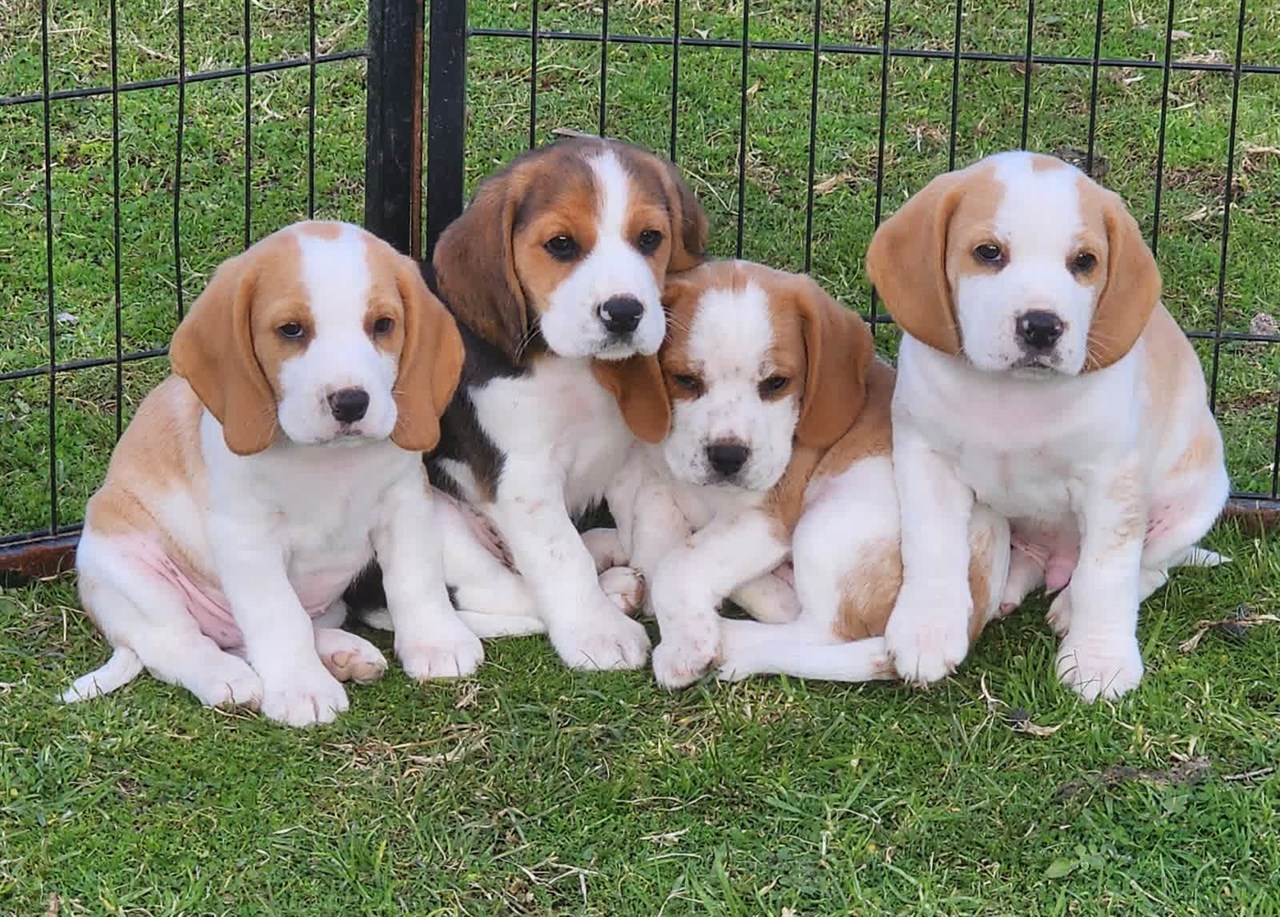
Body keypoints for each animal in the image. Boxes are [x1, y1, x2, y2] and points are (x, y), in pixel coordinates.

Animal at [68, 220, 519, 722]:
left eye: (383, 325)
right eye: (291, 330)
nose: (351, 402)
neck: (329, 462)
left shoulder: (405, 504)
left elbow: (414, 577)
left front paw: (436, 643)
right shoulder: (249, 538)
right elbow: (278, 616)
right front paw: (303, 689)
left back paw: (342, 653)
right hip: (131, 570)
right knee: (177, 643)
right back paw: (228, 678)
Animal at [604, 261, 1013, 691]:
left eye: (776, 383)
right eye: (685, 380)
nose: (728, 457)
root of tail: (975, 615)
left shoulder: (765, 520)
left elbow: (678, 562)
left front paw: (683, 646)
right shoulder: (655, 475)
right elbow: (653, 524)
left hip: (826, 526)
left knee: (823, 631)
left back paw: (731, 636)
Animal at [870, 150, 1228, 696]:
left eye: (1084, 262)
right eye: (988, 253)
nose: (1041, 326)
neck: (1012, 395)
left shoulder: (1112, 486)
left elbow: (1107, 575)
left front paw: (1100, 661)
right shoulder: (925, 457)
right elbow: (931, 543)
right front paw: (927, 630)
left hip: (1195, 506)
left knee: (1149, 569)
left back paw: (1069, 605)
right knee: (1032, 561)